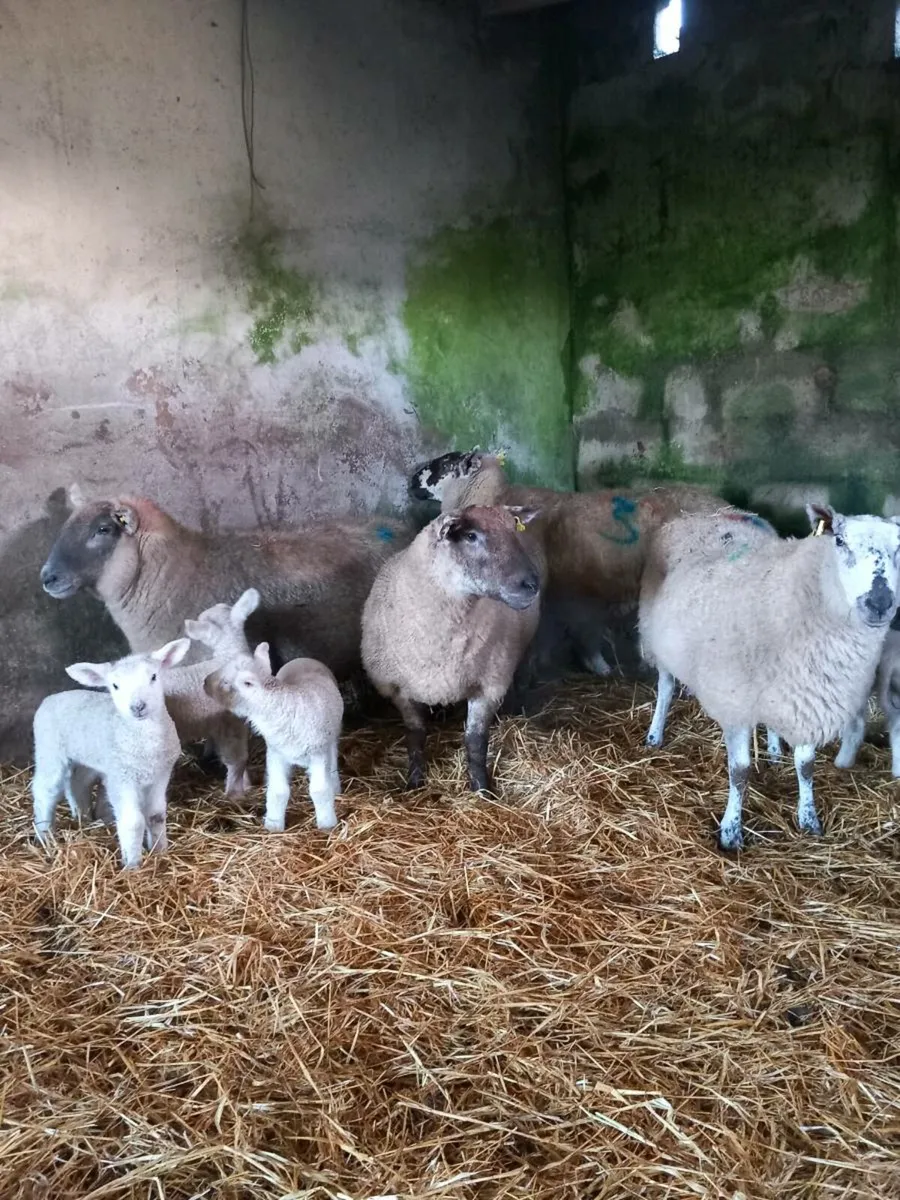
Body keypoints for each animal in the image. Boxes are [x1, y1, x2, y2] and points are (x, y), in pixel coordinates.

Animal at [32, 637, 190, 869]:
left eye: (153, 676)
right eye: (115, 686)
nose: (138, 706)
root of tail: (51, 698)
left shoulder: (161, 774)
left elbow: (156, 815)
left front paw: (161, 852)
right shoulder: (121, 777)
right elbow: (133, 822)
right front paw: (133, 865)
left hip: (90, 758)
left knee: (77, 782)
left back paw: (82, 817)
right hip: (49, 749)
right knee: (45, 789)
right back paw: (44, 835)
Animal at [204, 643, 343, 833]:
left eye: (225, 682)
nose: (204, 682)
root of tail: (303, 658)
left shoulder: (318, 753)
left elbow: (319, 790)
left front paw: (327, 824)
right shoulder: (276, 753)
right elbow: (278, 791)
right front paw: (273, 825)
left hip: (332, 737)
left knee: (333, 760)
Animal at [361, 503, 542, 792]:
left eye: (513, 529)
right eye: (470, 536)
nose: (532, 584)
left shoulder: (488, 686)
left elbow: (476, 740)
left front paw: (481, 789)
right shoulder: (399, 689)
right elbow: (415, 735)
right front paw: (414, 781)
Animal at [639, 504, 900, 851]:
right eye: (840, 540)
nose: (879, 603)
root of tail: (705, 513)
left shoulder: (807, 697)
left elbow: (806, 766)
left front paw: (809, 818)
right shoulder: (734, 701)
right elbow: (739, 773)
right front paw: (731, 832)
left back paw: (775, 751)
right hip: (659, 641)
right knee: (666, 688)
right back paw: (655, 735)